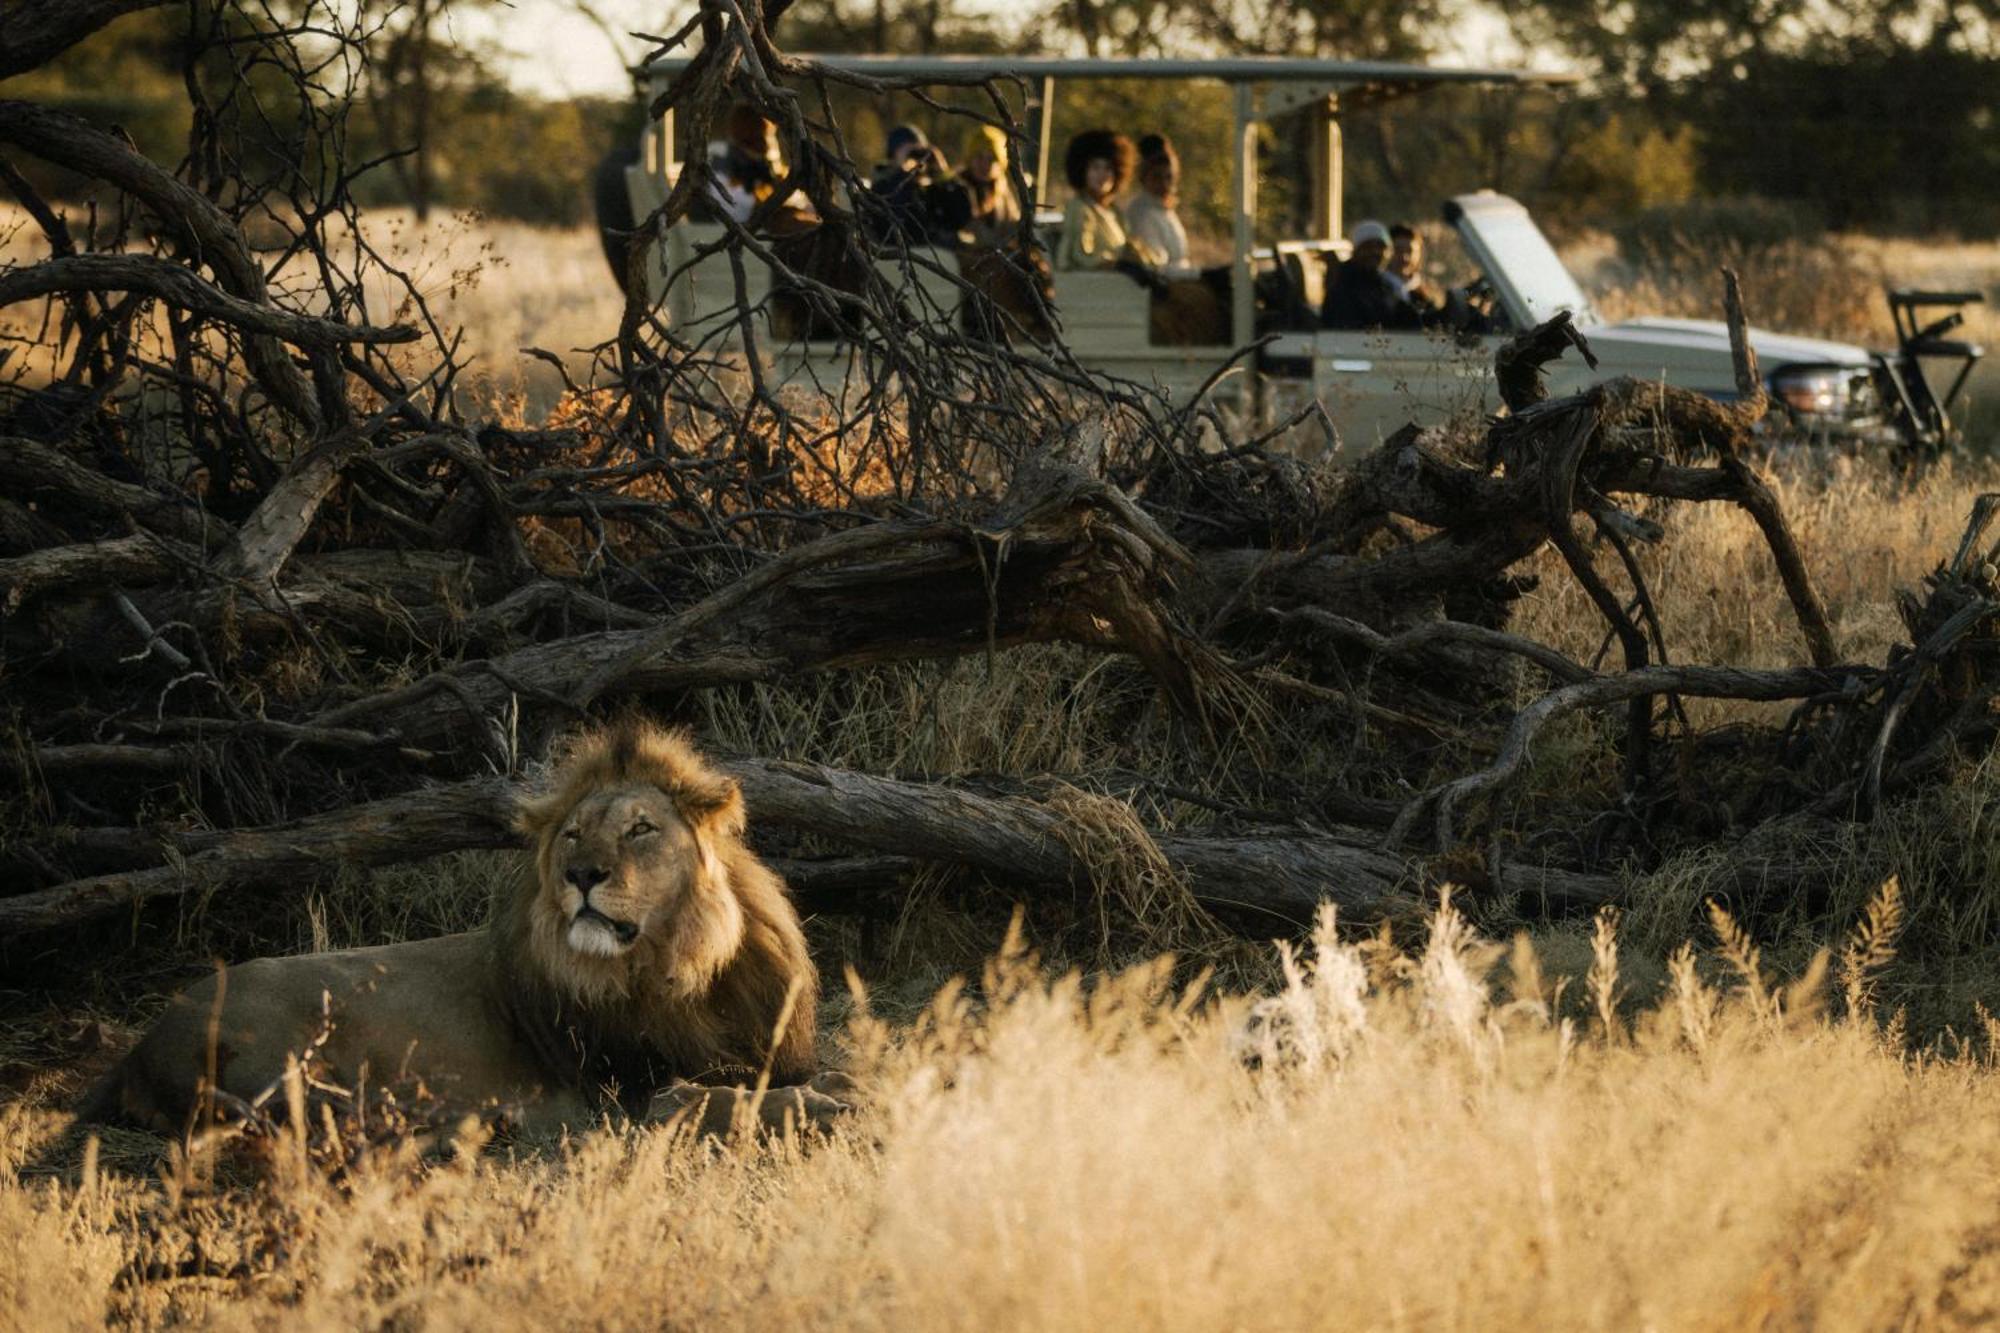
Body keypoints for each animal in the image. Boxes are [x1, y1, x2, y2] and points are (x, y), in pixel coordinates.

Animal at [80, 720, 852, 1136]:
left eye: (640, 829)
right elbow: (721, 1097)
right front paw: (826, 1103)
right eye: (572, 834)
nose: (582, 874)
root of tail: (141, 1045)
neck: (680, 971)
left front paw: (843, 1084)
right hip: (290, 1055)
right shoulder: (629, 1094)